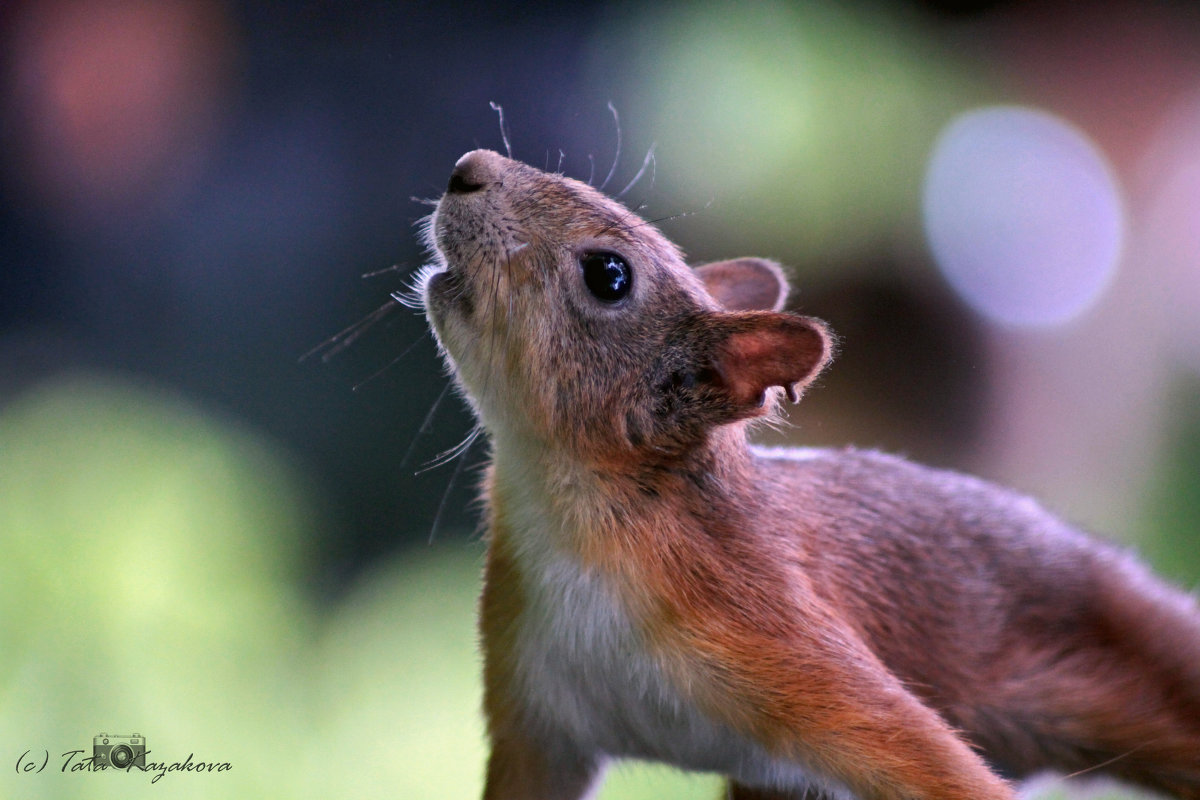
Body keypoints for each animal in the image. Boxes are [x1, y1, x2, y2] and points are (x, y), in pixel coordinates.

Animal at [415, 149, 1200, 800]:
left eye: (609, 276)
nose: (468, 167)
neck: (569, 521)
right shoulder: (536, 717)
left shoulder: (784, 639)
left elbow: (938, 767)